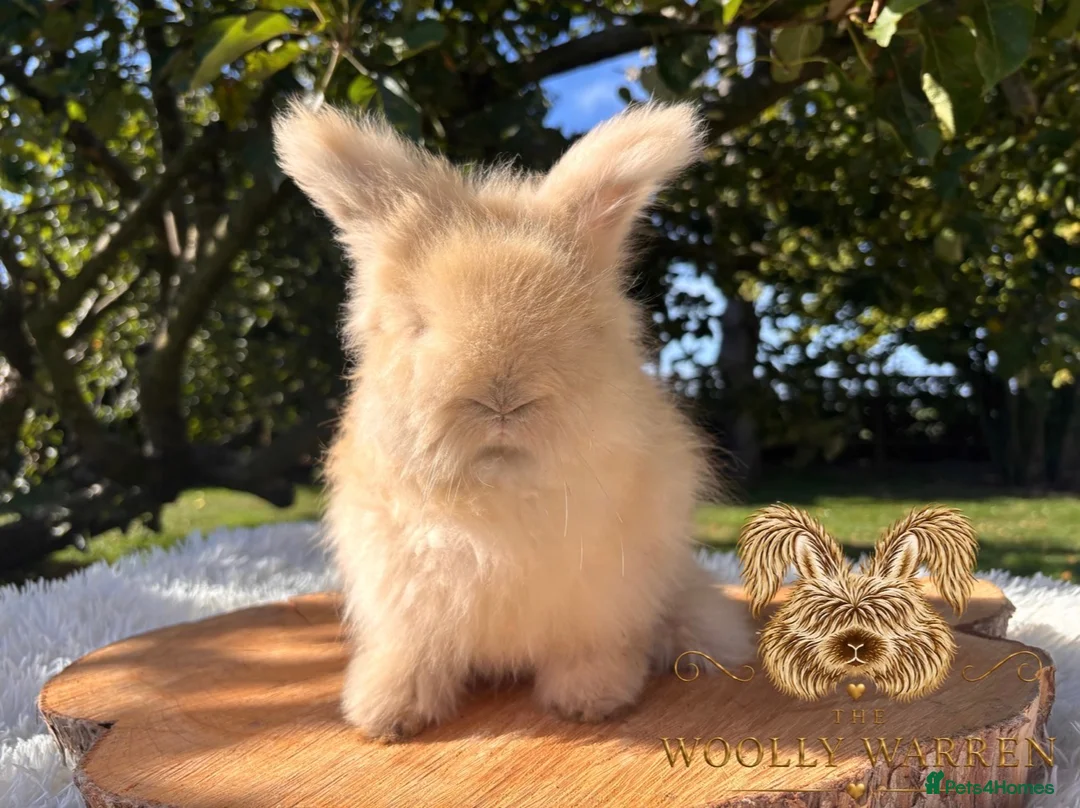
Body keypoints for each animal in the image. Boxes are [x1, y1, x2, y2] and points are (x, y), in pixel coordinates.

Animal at [272, 100, 757, 742]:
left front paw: (590, 700)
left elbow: (590, 649)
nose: (501, 400)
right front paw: (386, 714)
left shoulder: (600, 598)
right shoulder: (404, 594)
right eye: (419, 325)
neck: (500, 489)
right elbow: (414, 653)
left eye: (578, 326)